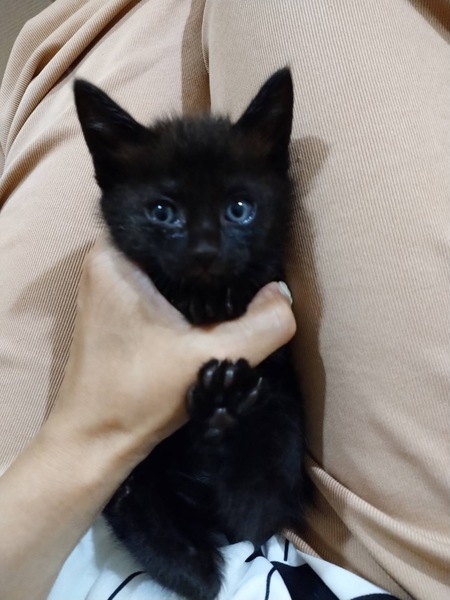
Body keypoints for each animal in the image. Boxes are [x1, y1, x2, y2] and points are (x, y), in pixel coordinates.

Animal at [74, 68, 307, 600]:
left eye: (239, 209)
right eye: (162, 212)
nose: (204, 251)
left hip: (281, 429)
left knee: (251, 508)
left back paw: (224, 412)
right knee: (134, 501)